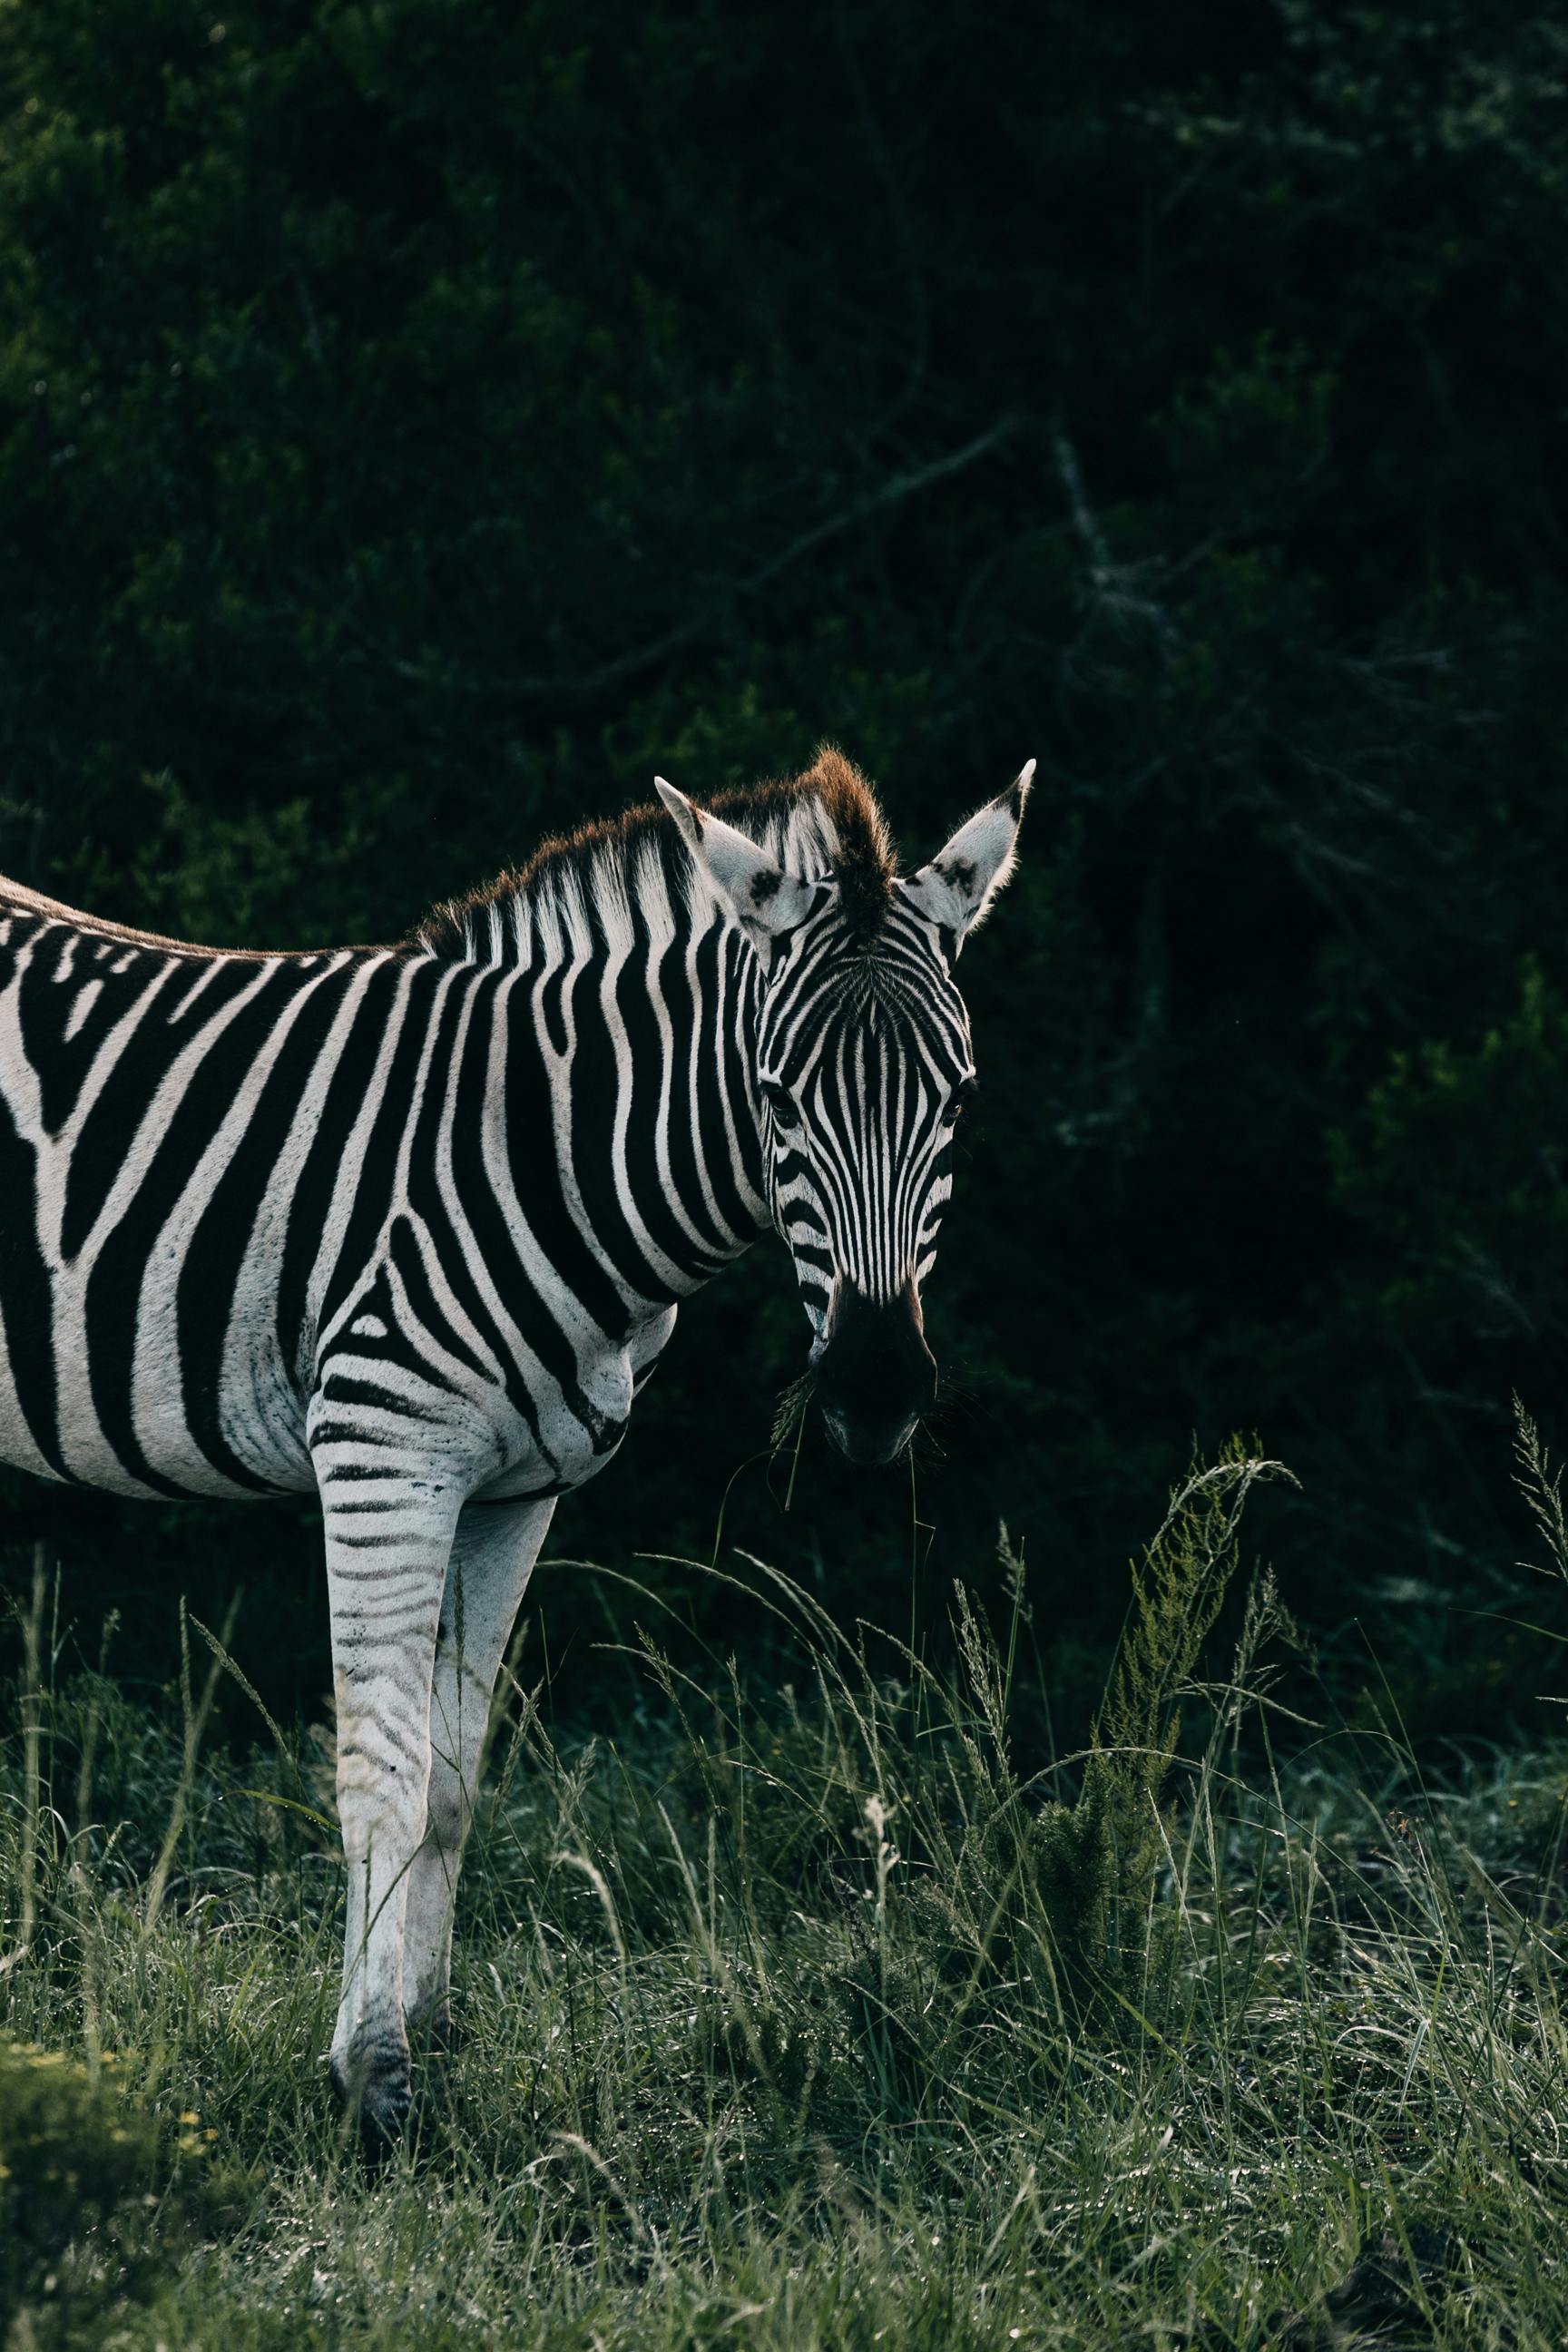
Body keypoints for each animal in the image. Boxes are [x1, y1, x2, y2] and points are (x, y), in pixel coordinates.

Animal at [0, 746, 1029, 2138]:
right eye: (774, 1096)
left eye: (957, 1098)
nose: (875, 1390)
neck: (545, 1149)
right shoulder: (383, 1447)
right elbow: (379, 1772)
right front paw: (373, 2078)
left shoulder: (513, 1492)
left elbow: (452, 1780)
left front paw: (432, 2036)